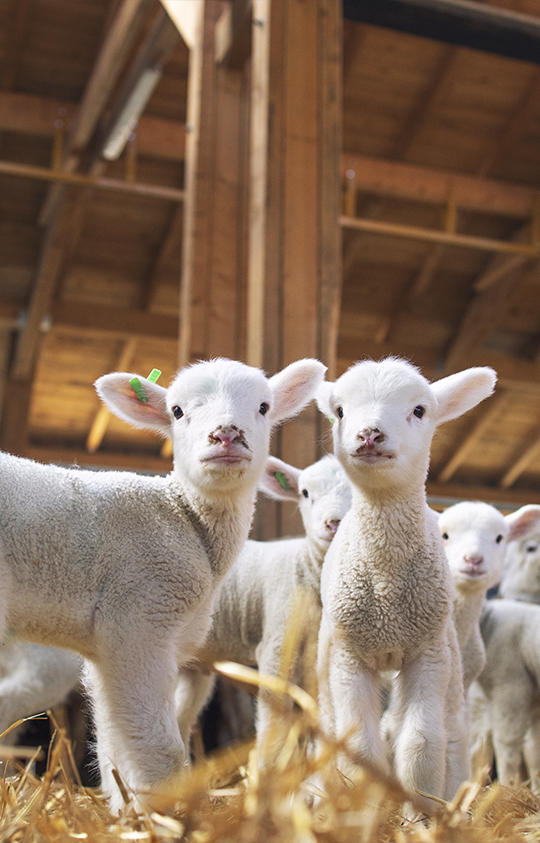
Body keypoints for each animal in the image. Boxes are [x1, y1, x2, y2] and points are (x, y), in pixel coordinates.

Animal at [0, 360, 324, 816]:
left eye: (263, 406)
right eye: (176, 410)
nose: (227, 435)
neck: (183, 515)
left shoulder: (111, 646)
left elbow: (116, 742)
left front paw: (126, 810)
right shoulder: (140, 615)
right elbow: (159, 747)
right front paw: (164, 814)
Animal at [175, 454, 352, 760]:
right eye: (305, 493)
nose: (334, 523)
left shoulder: (318, 657)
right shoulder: (276, 644)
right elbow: (272, 723)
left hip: (192, 664)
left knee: (179, 719)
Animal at [316, 356, 498, 812]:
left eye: (419, 410)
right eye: (340, 411)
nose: (369, 434)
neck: (385, 586)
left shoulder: (427, 653)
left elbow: (421, 742)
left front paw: (421, 814)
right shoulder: (349, 655)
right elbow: (360, 747)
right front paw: (364, 811)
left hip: (449, 658)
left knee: (450, 733)